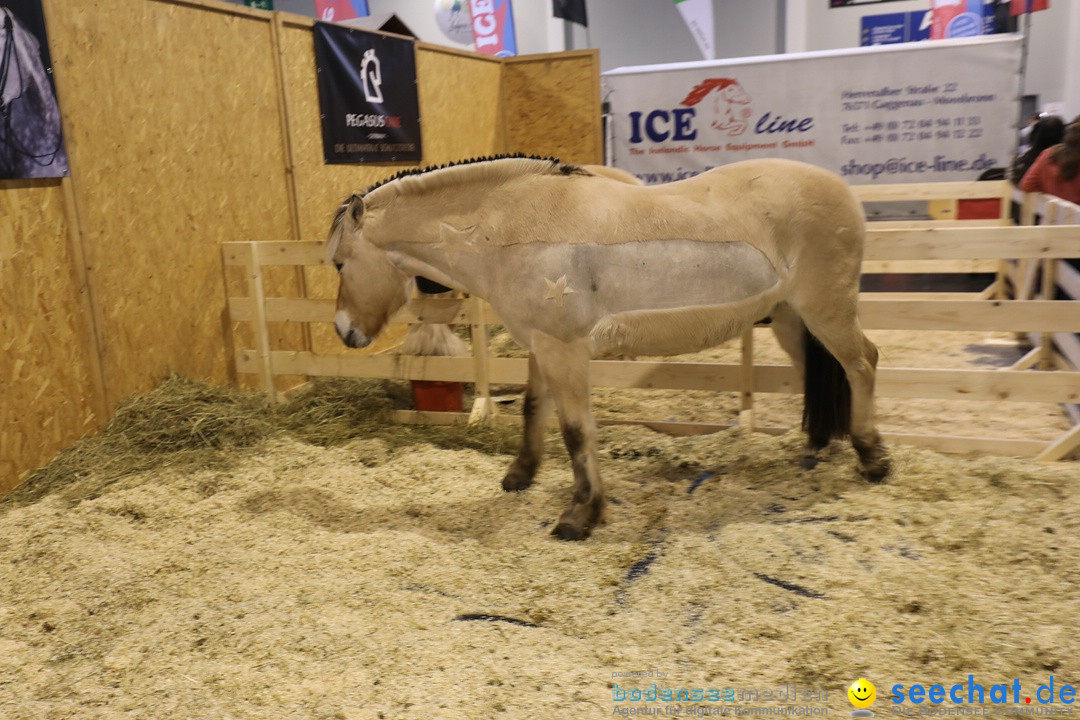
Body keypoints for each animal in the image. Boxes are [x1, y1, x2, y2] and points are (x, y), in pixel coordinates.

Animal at [326, 157, 885, 539]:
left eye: (338, 262)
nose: (344, 332)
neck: (508, 227)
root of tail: (841, 190)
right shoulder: (541, 346)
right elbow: (533, 408)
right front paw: (520, 475)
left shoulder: (564, 350)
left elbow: (577, 431)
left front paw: (582, 514)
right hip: (793, 320)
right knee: (824, 371)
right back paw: (817, 446)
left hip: (826, 311)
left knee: (862, 364)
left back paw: (872, 458)